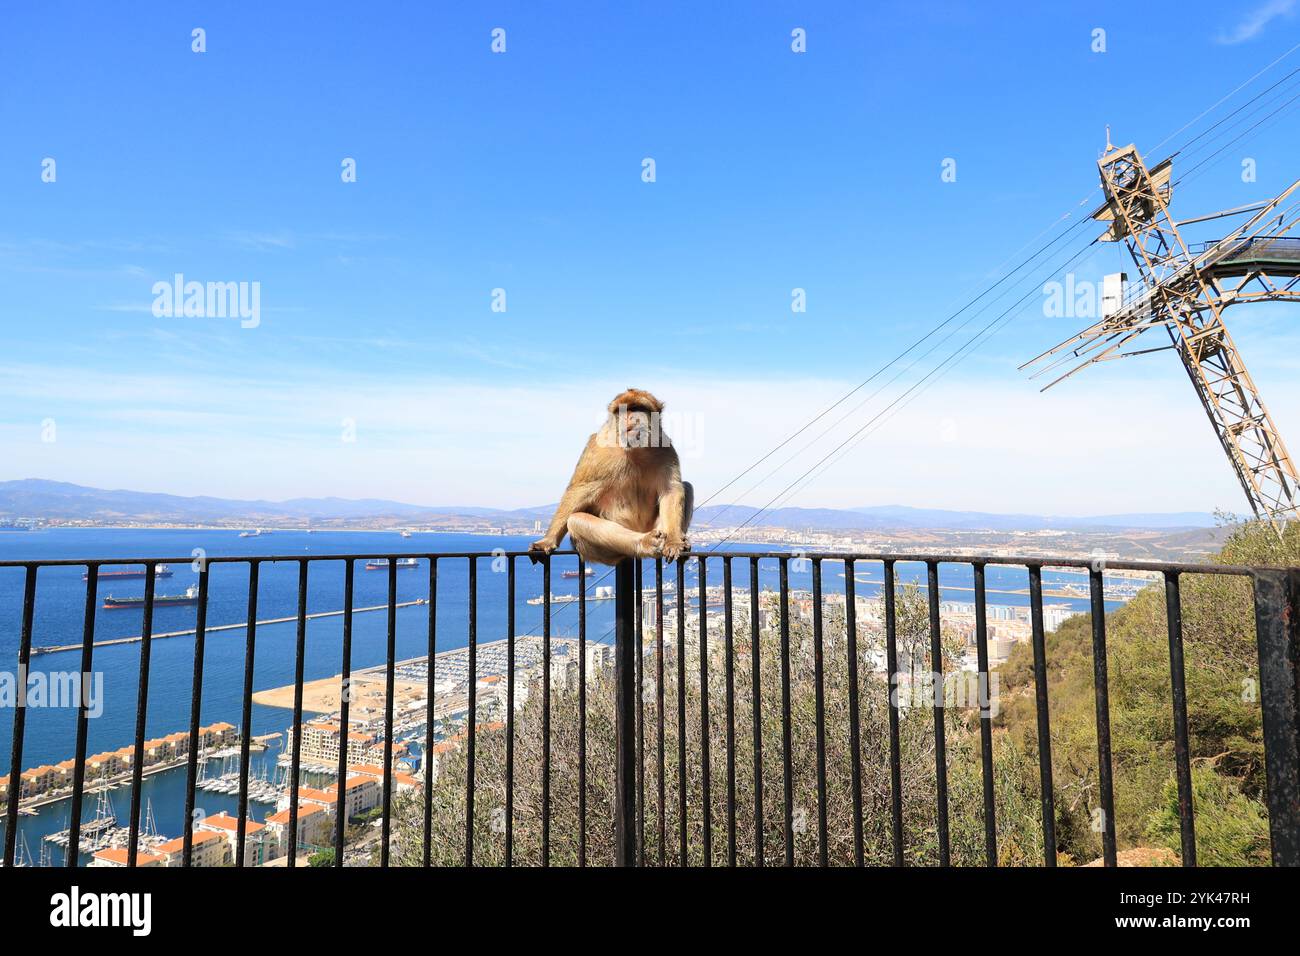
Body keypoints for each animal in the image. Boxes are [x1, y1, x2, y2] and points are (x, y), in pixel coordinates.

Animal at [529, 388, 693, 566]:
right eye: (621, 410)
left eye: (637, 408)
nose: (628, 417)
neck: (635, 451)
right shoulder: (597, 449)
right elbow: (579, 490)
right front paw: (547, 541)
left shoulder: (666, 449)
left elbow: (671, 490)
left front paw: (674, 541)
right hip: (603, 552)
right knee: (576, 520)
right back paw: (645, 543)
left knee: (686, 487)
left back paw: (679, 540)